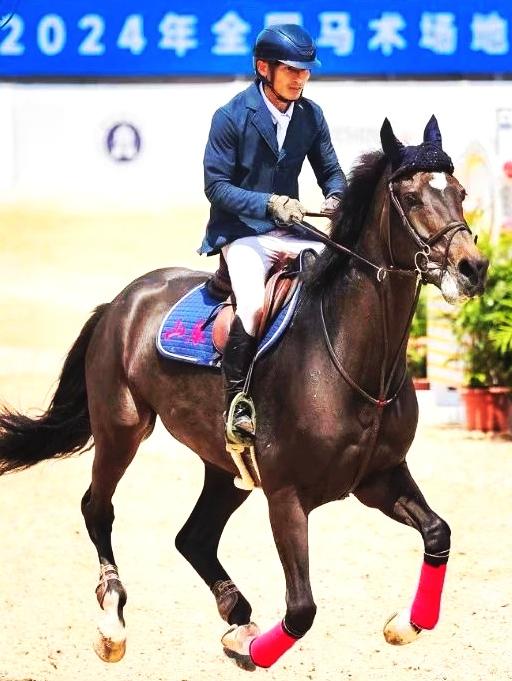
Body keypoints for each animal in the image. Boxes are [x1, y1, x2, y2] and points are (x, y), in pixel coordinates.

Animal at [0, 116, 488, 671]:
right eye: (410, 197)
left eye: (460, 192)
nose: (472, 268)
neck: (355, 359)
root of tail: (122, 301)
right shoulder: (286, 496)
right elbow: (301, 609)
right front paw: (253, 651)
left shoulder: (379, 478)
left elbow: (438, 533)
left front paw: (405, 624)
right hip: (122, 429)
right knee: (97, 508)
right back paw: (113, 623)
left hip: (226, 468)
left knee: (193, 537)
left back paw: (236, 614)